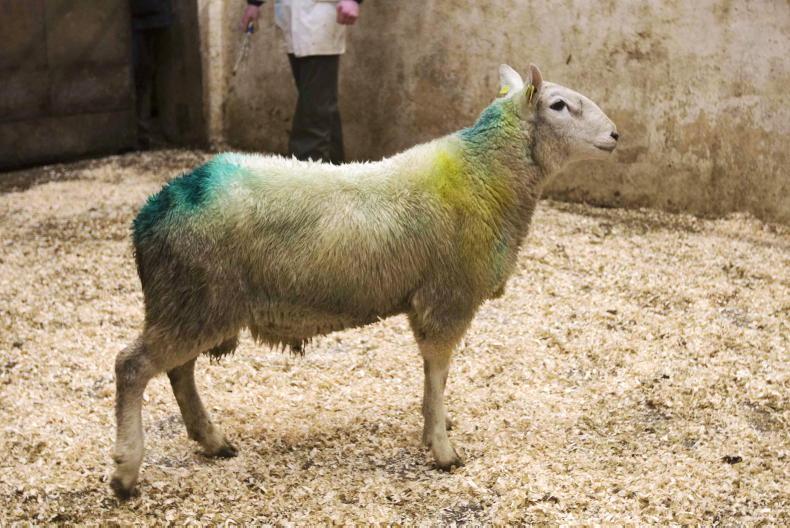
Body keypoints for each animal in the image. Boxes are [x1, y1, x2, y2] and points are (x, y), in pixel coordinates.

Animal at [110, 63, 619, 498]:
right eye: (558, 105)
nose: (616, 134)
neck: (487, 176)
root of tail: (154, 209)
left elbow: (433, 377)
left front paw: (433, 429)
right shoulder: (447, 299)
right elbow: (438, 373)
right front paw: (442, 449)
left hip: (194, 303)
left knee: (179, 370)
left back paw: (211, 440)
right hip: (194, 301)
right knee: (132, 367)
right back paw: (126, 472)